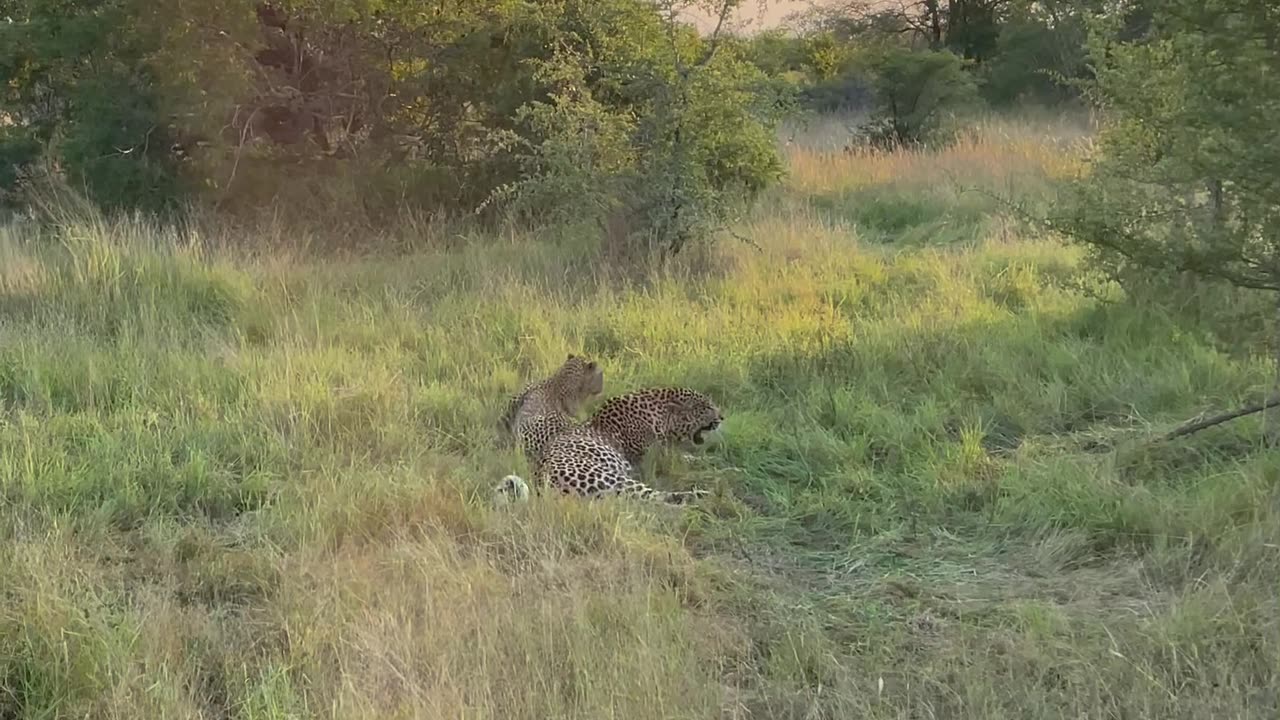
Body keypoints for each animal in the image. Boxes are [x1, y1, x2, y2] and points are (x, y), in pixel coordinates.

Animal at [496, 386, 727, 504]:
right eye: (706, 407)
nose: (722, 417)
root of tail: (541, 486)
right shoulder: (651, 461)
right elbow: (689, 463)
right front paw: (722, 468)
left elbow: (690, 457)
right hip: (615, 480)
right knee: (655, 497)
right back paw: (706, 494)